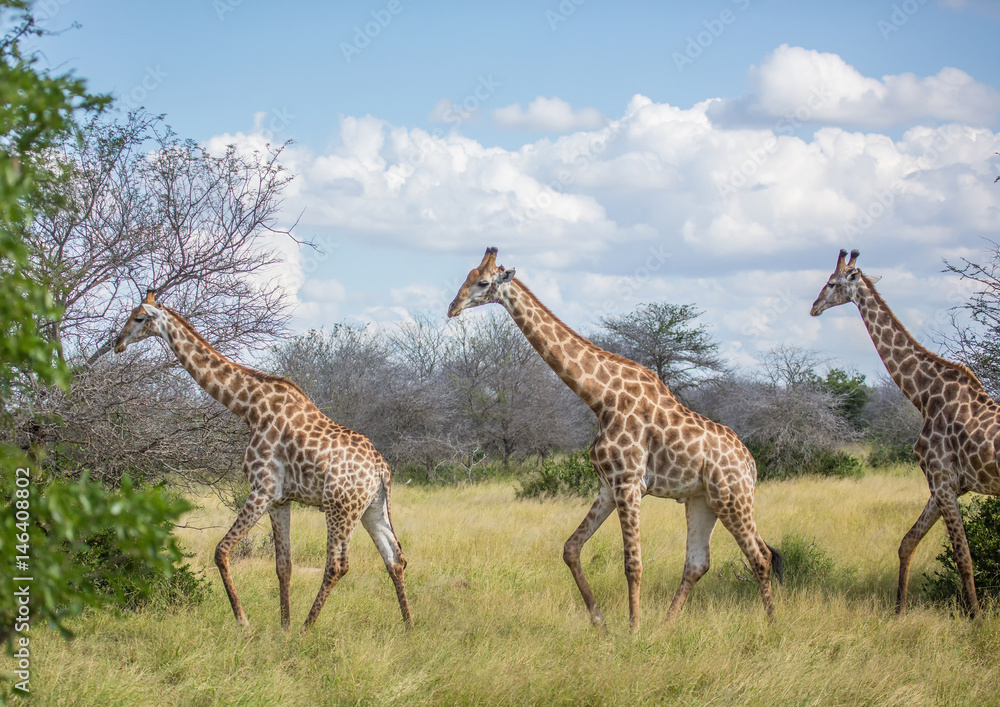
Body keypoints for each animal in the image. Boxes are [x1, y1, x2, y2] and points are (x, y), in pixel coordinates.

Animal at [113, 289, 413, 630]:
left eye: (139, 317)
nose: (117, 342)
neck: (249, 407)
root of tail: (381, 469)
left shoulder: (262, 488)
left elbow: (221, 550)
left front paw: (244, 622)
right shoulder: (280, 499)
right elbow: (283, 564)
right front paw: (283, 626)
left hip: (340, 508)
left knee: (338, 565)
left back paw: (308, 628)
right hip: (372, 508)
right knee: (394, 557)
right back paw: (408, 626)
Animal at [448, 248, 782, 632]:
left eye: (483, 283)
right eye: (467, 276)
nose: (452, 307)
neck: (600, 398)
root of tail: (751, 463)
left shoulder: (629, 482)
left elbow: (633, 563)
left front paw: (633, 629)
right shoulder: (607, 485)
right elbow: (571, 548)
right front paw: (600, 621)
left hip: (733, 498)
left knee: (760, 556)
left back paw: (771, 626)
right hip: (703, 500)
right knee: (699, 563)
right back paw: (665, 627)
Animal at [811, 249, 1000, 619]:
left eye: (832, 283)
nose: (814, 306)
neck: (925, 395)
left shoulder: (942, 481)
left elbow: (963, 557)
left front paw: (975, 618)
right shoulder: (946, 485)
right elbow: (907, 542)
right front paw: (899, 610)